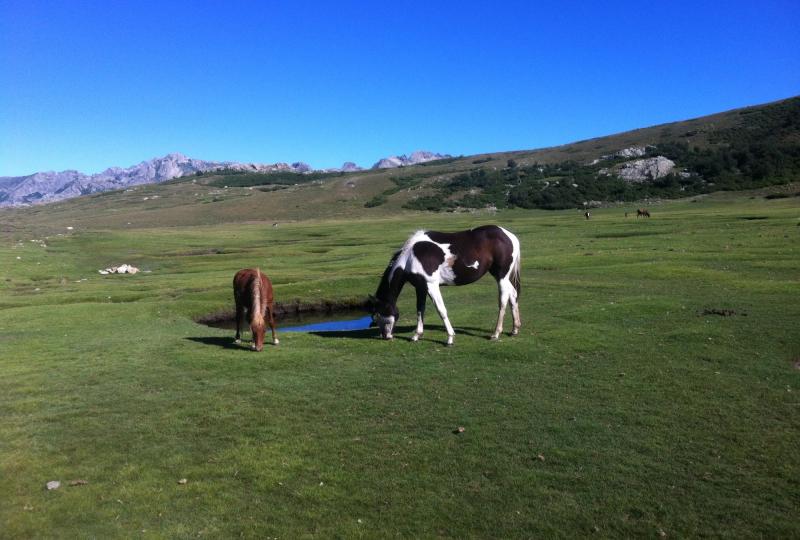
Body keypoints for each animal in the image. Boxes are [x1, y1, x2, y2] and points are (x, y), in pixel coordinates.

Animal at [368, 224, 520, 346]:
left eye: (379, 315)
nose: (386, 336)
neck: (410, 256)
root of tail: (509, 236)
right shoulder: (420, 288)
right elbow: (420, 310)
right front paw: (417, 335)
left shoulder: (431, 286)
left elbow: (441, 310)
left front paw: (450, 338)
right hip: (501, 276)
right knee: (513, 294)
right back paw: (515, 329)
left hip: (501, 276)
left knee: (503, 300)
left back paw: (496, 333)